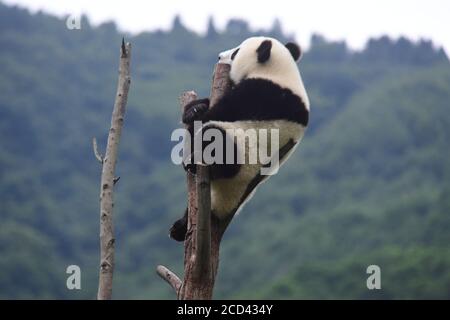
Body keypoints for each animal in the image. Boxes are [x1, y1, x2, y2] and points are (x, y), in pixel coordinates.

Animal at [169, 36, 310, 241]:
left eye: (236, 52)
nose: (220, 56)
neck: (280, 71)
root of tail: (226, 205)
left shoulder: (262, 92)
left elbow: (218, 114)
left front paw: (195, 115)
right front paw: (195, 107)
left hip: (243, 160)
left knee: (218, 142)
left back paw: (197, 163)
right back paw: (178, 228)